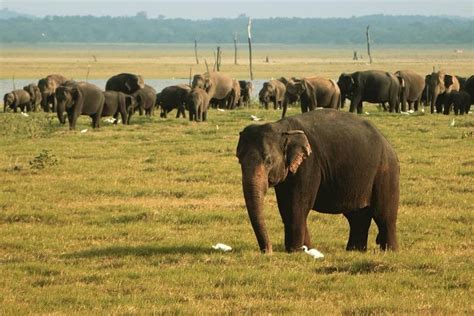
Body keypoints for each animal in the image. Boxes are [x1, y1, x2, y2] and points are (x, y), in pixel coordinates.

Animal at [235, 110, 398, 253]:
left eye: (268, 161)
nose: (268, 251)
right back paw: (355, 250)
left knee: (384, 215)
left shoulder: (309, 164)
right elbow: (285, 206)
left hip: (386, 172)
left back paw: (389, 251)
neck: (283, 128)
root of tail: (387, 142)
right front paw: (305, 249)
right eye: (239, 160)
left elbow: (297, 205)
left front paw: (295, 250)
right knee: (357, 217)